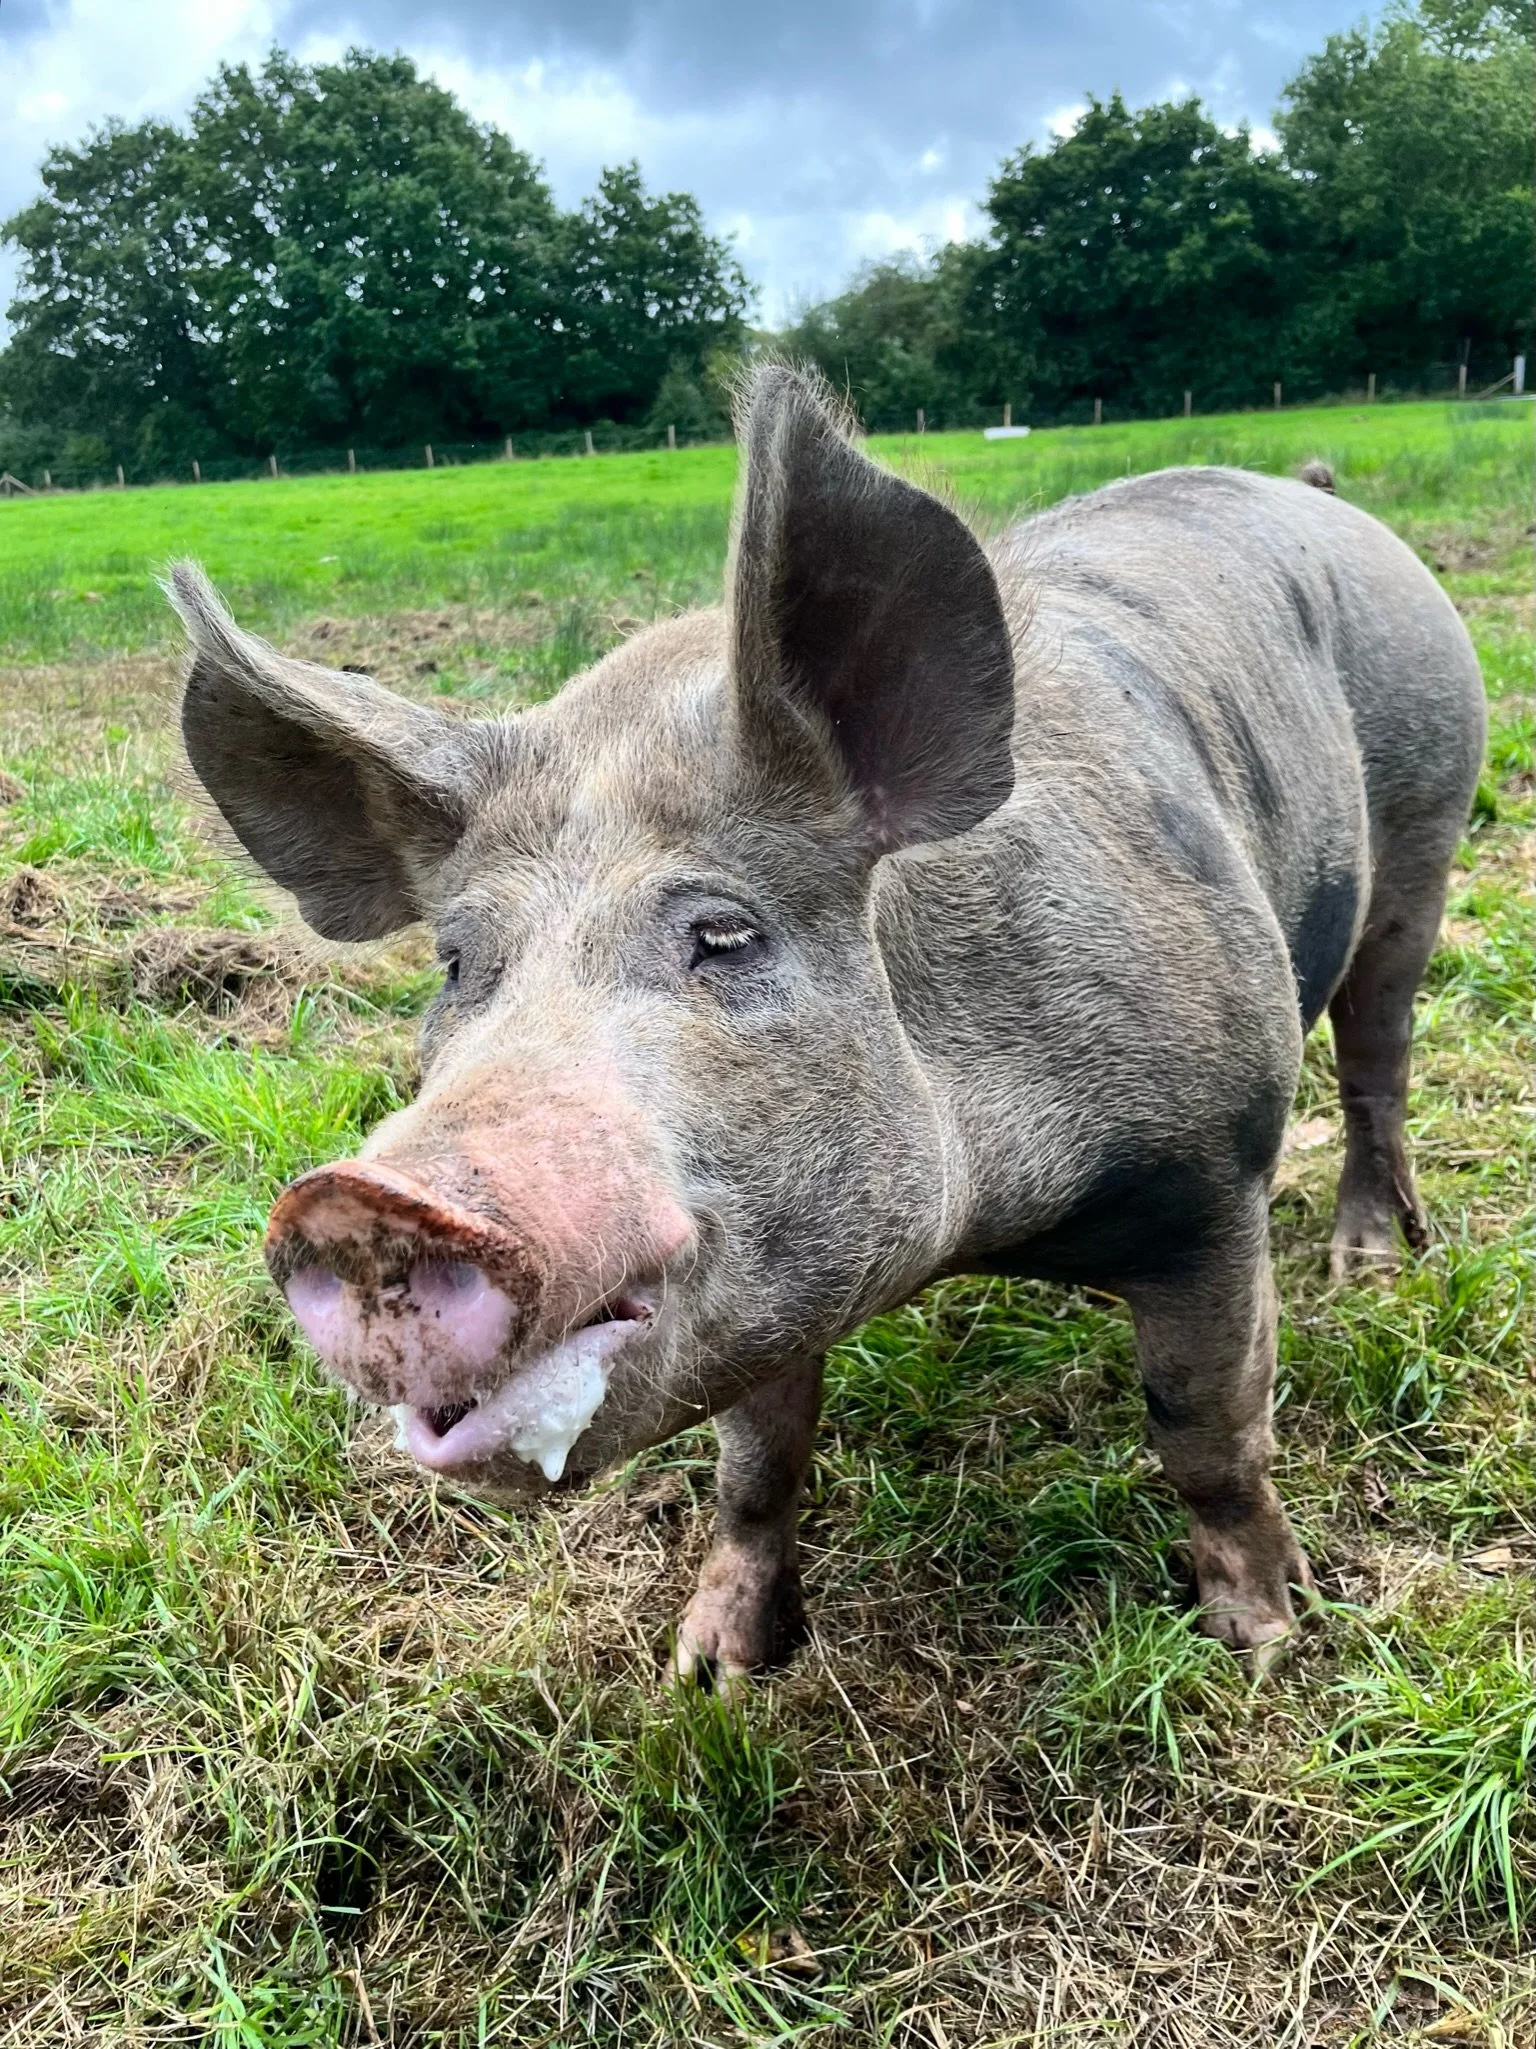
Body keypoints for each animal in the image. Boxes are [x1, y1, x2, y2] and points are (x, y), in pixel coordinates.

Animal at [170, 364, 1486, 1684]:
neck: (990, 1226)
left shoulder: (1214, 1165)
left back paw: (1370, 1265)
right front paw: (709, 1668)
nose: (352, 1205)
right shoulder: (767, 1268)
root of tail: (1326, 501)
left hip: (1428, 820)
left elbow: (1210, 1428)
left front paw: (1261, 1647)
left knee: (1377, 1055)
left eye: (724, 934)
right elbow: (757, 1464)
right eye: (457, 962)